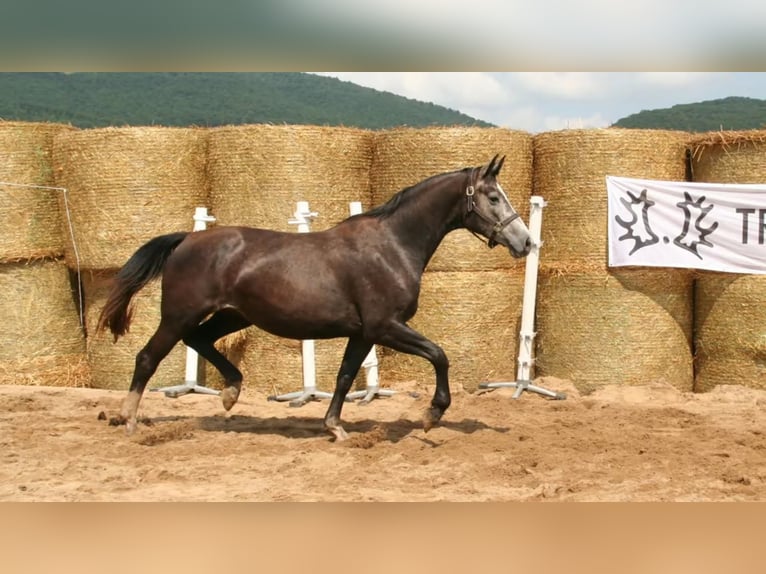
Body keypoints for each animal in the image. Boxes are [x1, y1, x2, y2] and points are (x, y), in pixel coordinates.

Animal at [97, 153, 536, 440]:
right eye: (493, 197)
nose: (527, 241)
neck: (393, 245)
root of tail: (187, 238)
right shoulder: (386, 326)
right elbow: (439, 355)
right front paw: (432, 415)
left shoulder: (363, 333)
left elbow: (344, 376)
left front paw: (334, 426)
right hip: (178, 315)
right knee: (147, 357)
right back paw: (128, 418)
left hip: (232, 315)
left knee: (200, 340)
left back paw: (230, 393)